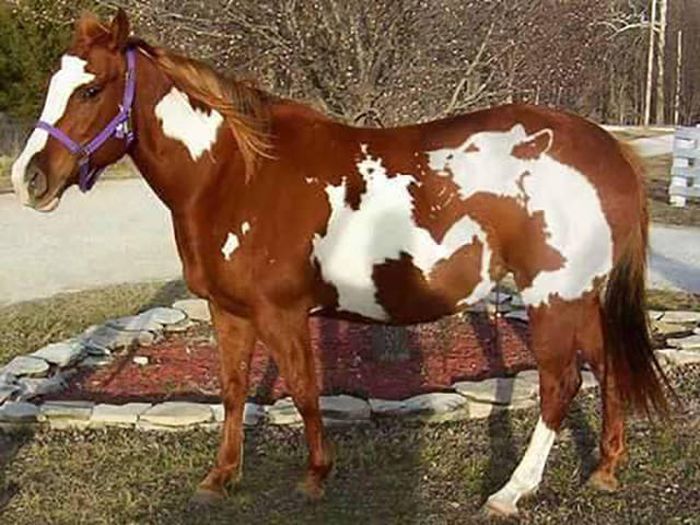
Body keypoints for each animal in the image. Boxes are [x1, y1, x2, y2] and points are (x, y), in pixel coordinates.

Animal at [11, 9, 669, 517]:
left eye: (91, 89)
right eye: (55, 83)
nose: (29, 179)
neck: (235, 175)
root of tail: (608, 149)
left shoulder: (281, 313)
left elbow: (304, 390)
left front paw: (315, 477)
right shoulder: (228, 312)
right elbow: (232, 392)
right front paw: (219, 480)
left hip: (552, 296)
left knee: (561, 385)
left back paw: (511, 492)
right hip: (579, 295)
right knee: (607, 365)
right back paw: (605, 468)